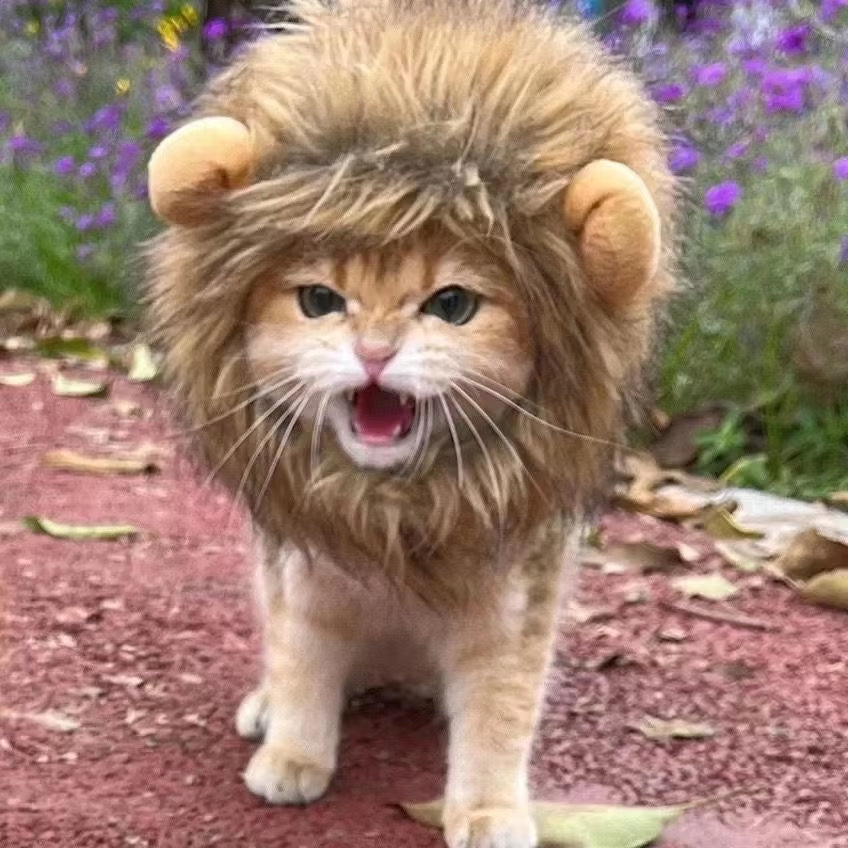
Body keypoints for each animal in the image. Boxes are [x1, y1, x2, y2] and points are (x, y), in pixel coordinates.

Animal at [145, 1, 676, 845]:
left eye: (451, 305)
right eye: (319, 300)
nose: (373, 352)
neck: (399, 512)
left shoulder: (511, 619)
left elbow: (497, 722)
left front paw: (489, 811)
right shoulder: (308, 579)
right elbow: (301, 671)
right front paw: (292, 756)